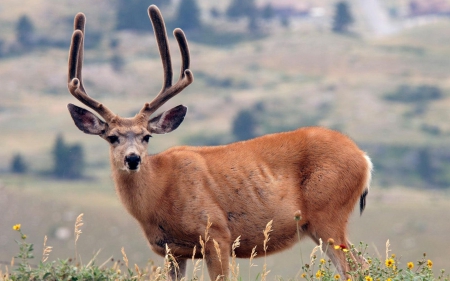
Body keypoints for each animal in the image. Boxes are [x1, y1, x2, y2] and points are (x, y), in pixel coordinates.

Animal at [66, 4, 372, 280]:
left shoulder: (216, 234)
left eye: (146, 136)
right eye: (112, 137)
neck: (160, 193)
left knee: (356, 268)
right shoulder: (172, 251)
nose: (132, 158)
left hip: (328, 213)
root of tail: (364, 158)